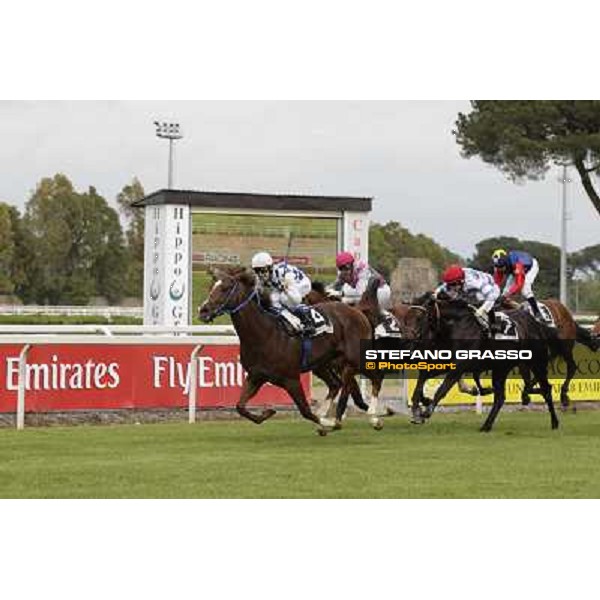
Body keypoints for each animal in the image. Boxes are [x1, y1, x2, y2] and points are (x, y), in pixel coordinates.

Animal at [197, 268, 384, 432]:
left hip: (356, 358)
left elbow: (306, 411)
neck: (264, 334)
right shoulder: (256, 376)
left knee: (376, 377)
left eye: (225, 288)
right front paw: (267, 412)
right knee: (336, 384)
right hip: (323, 364)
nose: (203, 310)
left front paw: (329, 423)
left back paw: (374, 418)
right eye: (210, 287)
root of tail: (357, 311)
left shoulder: (291, 379)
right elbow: (240, 407)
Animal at [400, 296, 560, 432]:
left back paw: (554, 422)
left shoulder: (459, 367)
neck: (455, 327)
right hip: (501, 369)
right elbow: (423, 377)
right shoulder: (446, 363)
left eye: (419, 317)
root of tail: (537, 324)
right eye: (406, 318)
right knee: (500, 398)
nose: (407, 340)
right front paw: (417, 407)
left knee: (546, 389)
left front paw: (426, 412)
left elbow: (442, 389)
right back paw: (486, 425)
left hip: (536, 363)